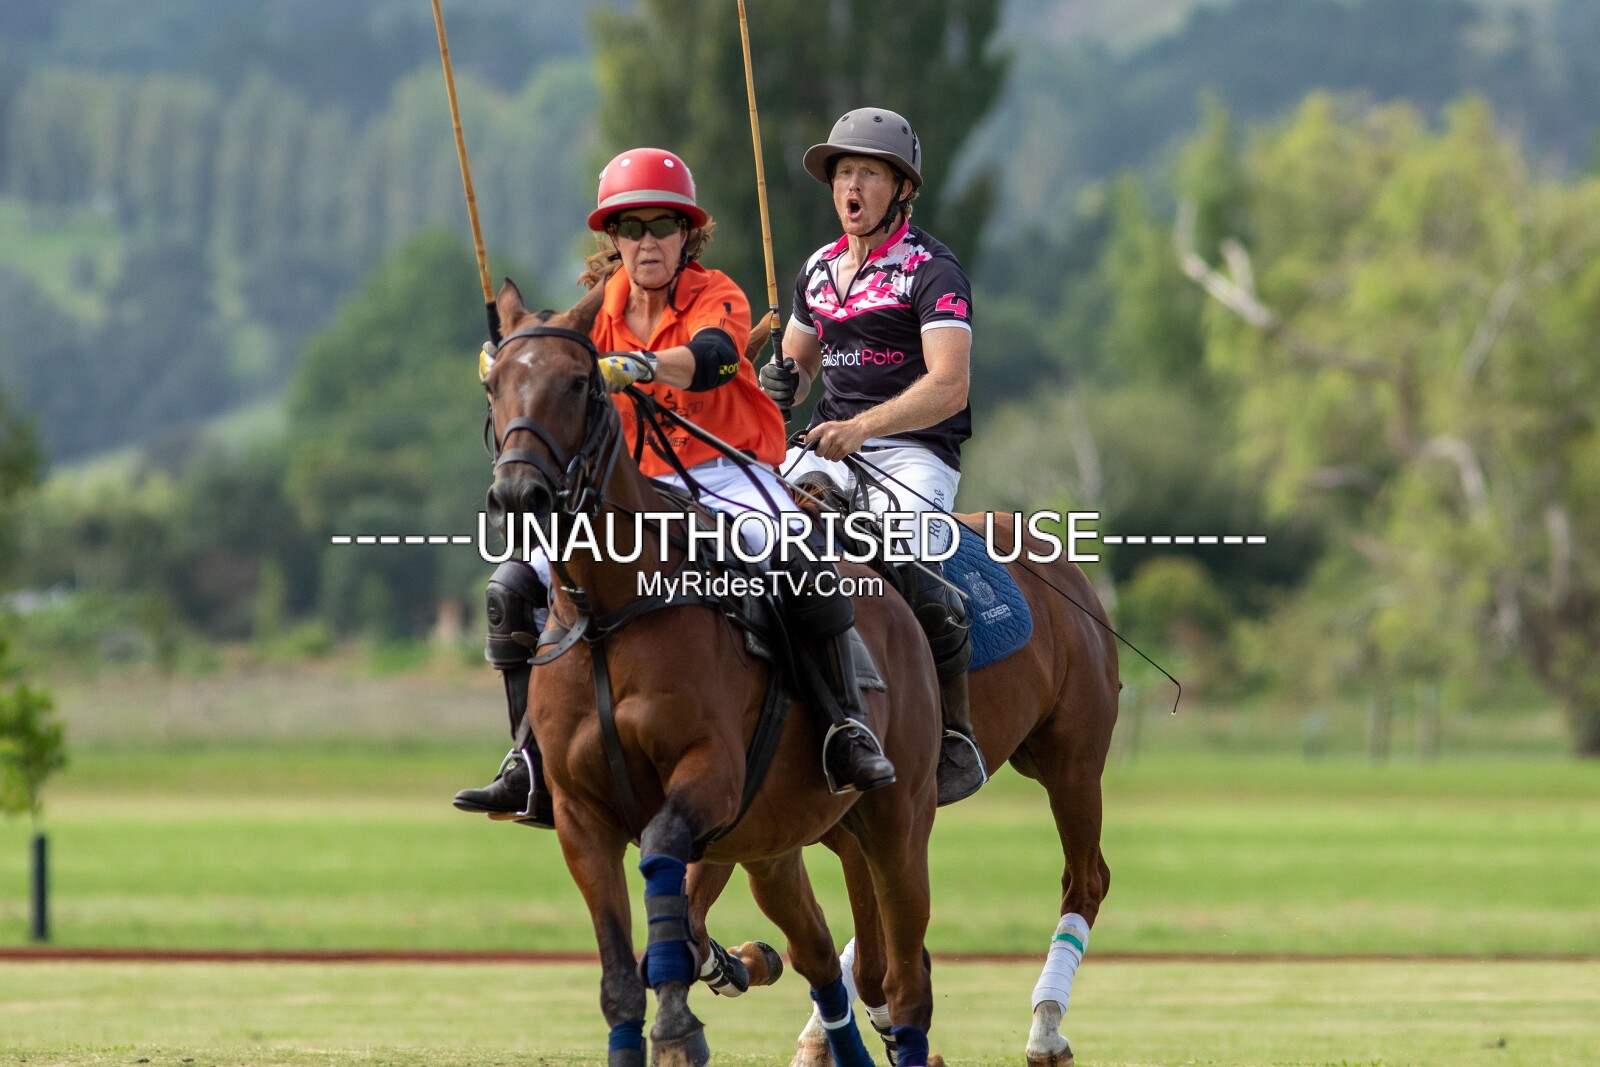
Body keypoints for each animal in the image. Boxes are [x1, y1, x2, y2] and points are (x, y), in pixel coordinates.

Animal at [688, 511, 1121, 1067]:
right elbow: (693, 923)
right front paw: (746, 962)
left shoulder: (863, 827)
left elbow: (875, 967)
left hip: (1073, 764)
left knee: (1086, 880)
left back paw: (1045, 1033)